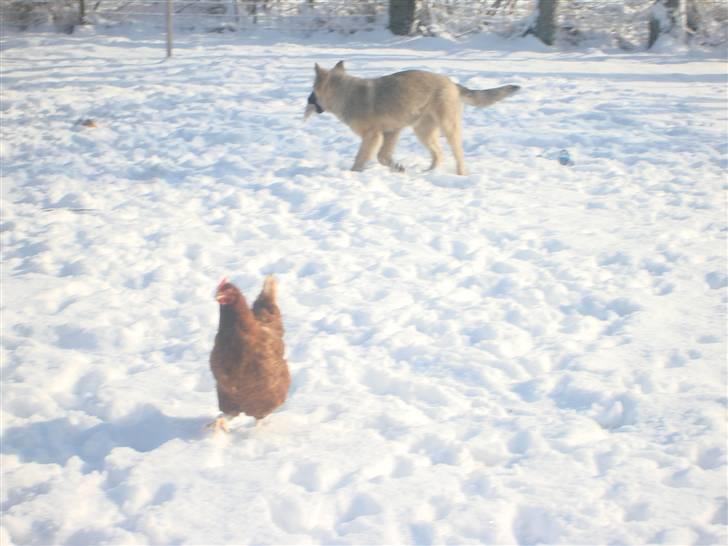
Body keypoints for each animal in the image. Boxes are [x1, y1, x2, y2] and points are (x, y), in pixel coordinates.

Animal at [304, 61, 520, 174]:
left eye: (313, 91)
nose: (306, 100)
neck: (345, 93)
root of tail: (452, 83)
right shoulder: (391, 132)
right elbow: (383, 157)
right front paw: (397, 167)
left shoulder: (374, 136)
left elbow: (362, 157)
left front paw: (354, 173)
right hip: (423, 131)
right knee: (438, 154)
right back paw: (429, 172)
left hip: (448, 128)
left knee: (457, 153)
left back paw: (460, 174)